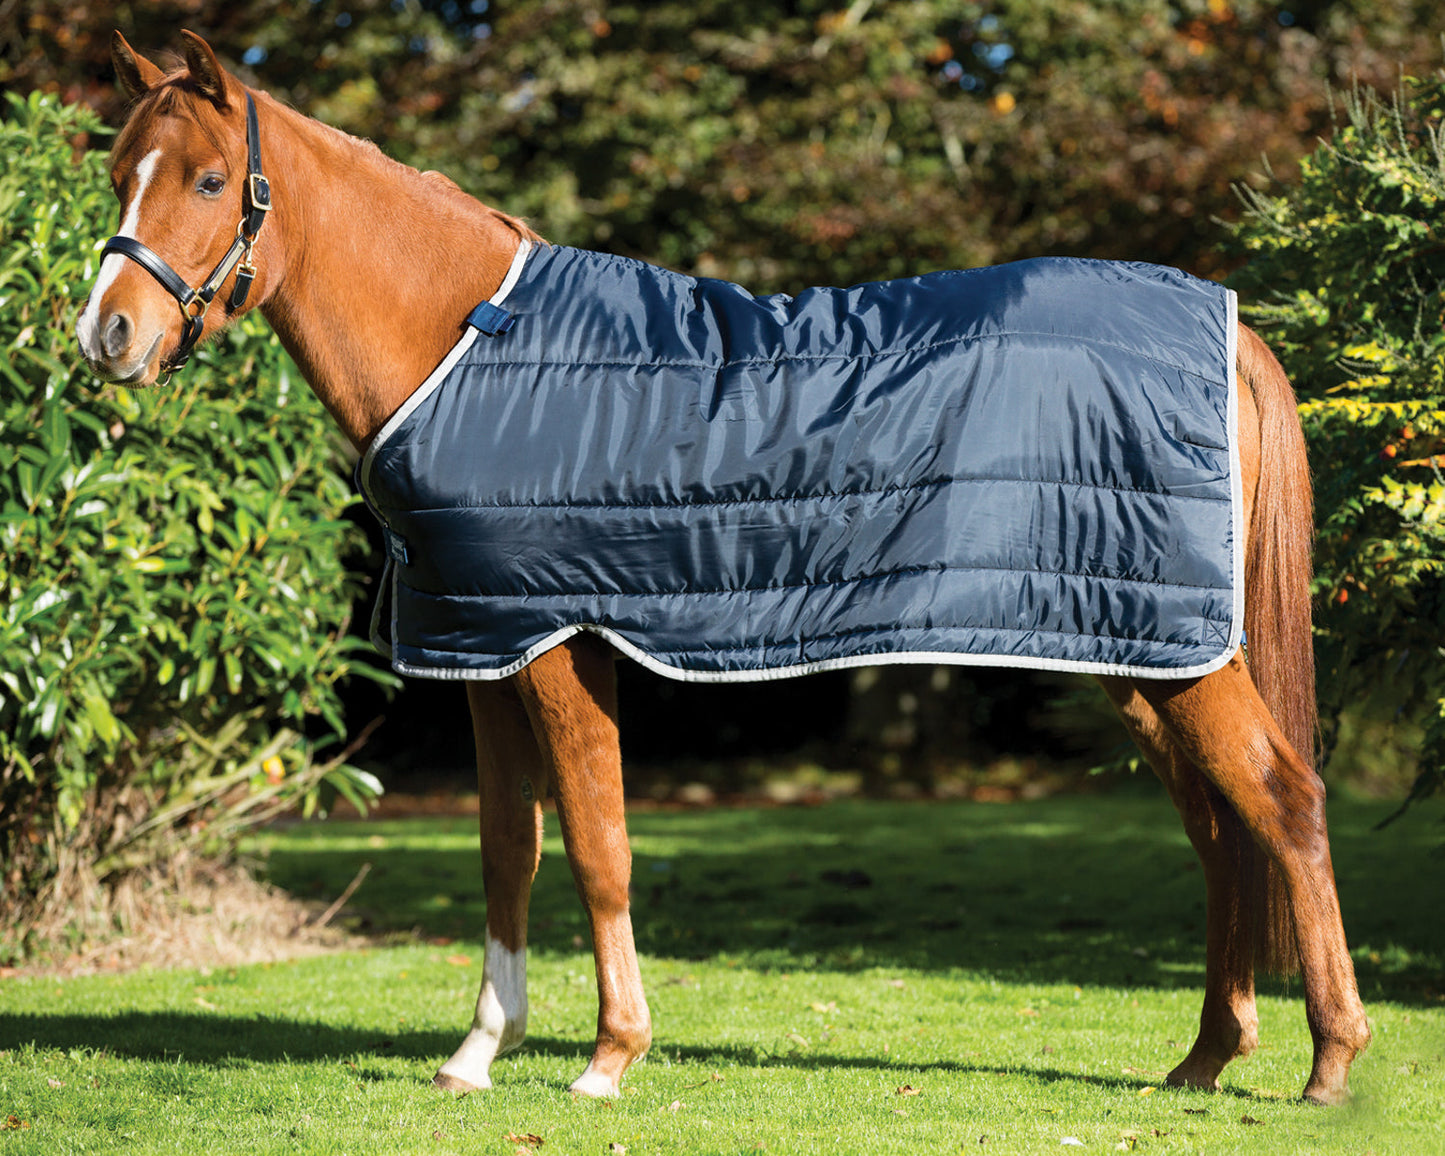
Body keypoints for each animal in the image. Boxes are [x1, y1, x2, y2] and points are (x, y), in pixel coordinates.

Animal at [76, 31, 1369, 1105]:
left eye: (206, 181)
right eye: (118, 174)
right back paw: (1203, 1057)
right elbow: (507, 851)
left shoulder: (558, 644)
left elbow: (596, 846)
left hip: (1174, 655)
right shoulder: (483, 645)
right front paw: (478, 1051)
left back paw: (1326, 1063)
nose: (107, 336)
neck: (468, 345)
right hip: (1131, 647)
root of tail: (1224, 328)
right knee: (1220, 825)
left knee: (1284, 802)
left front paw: (609, 1056)